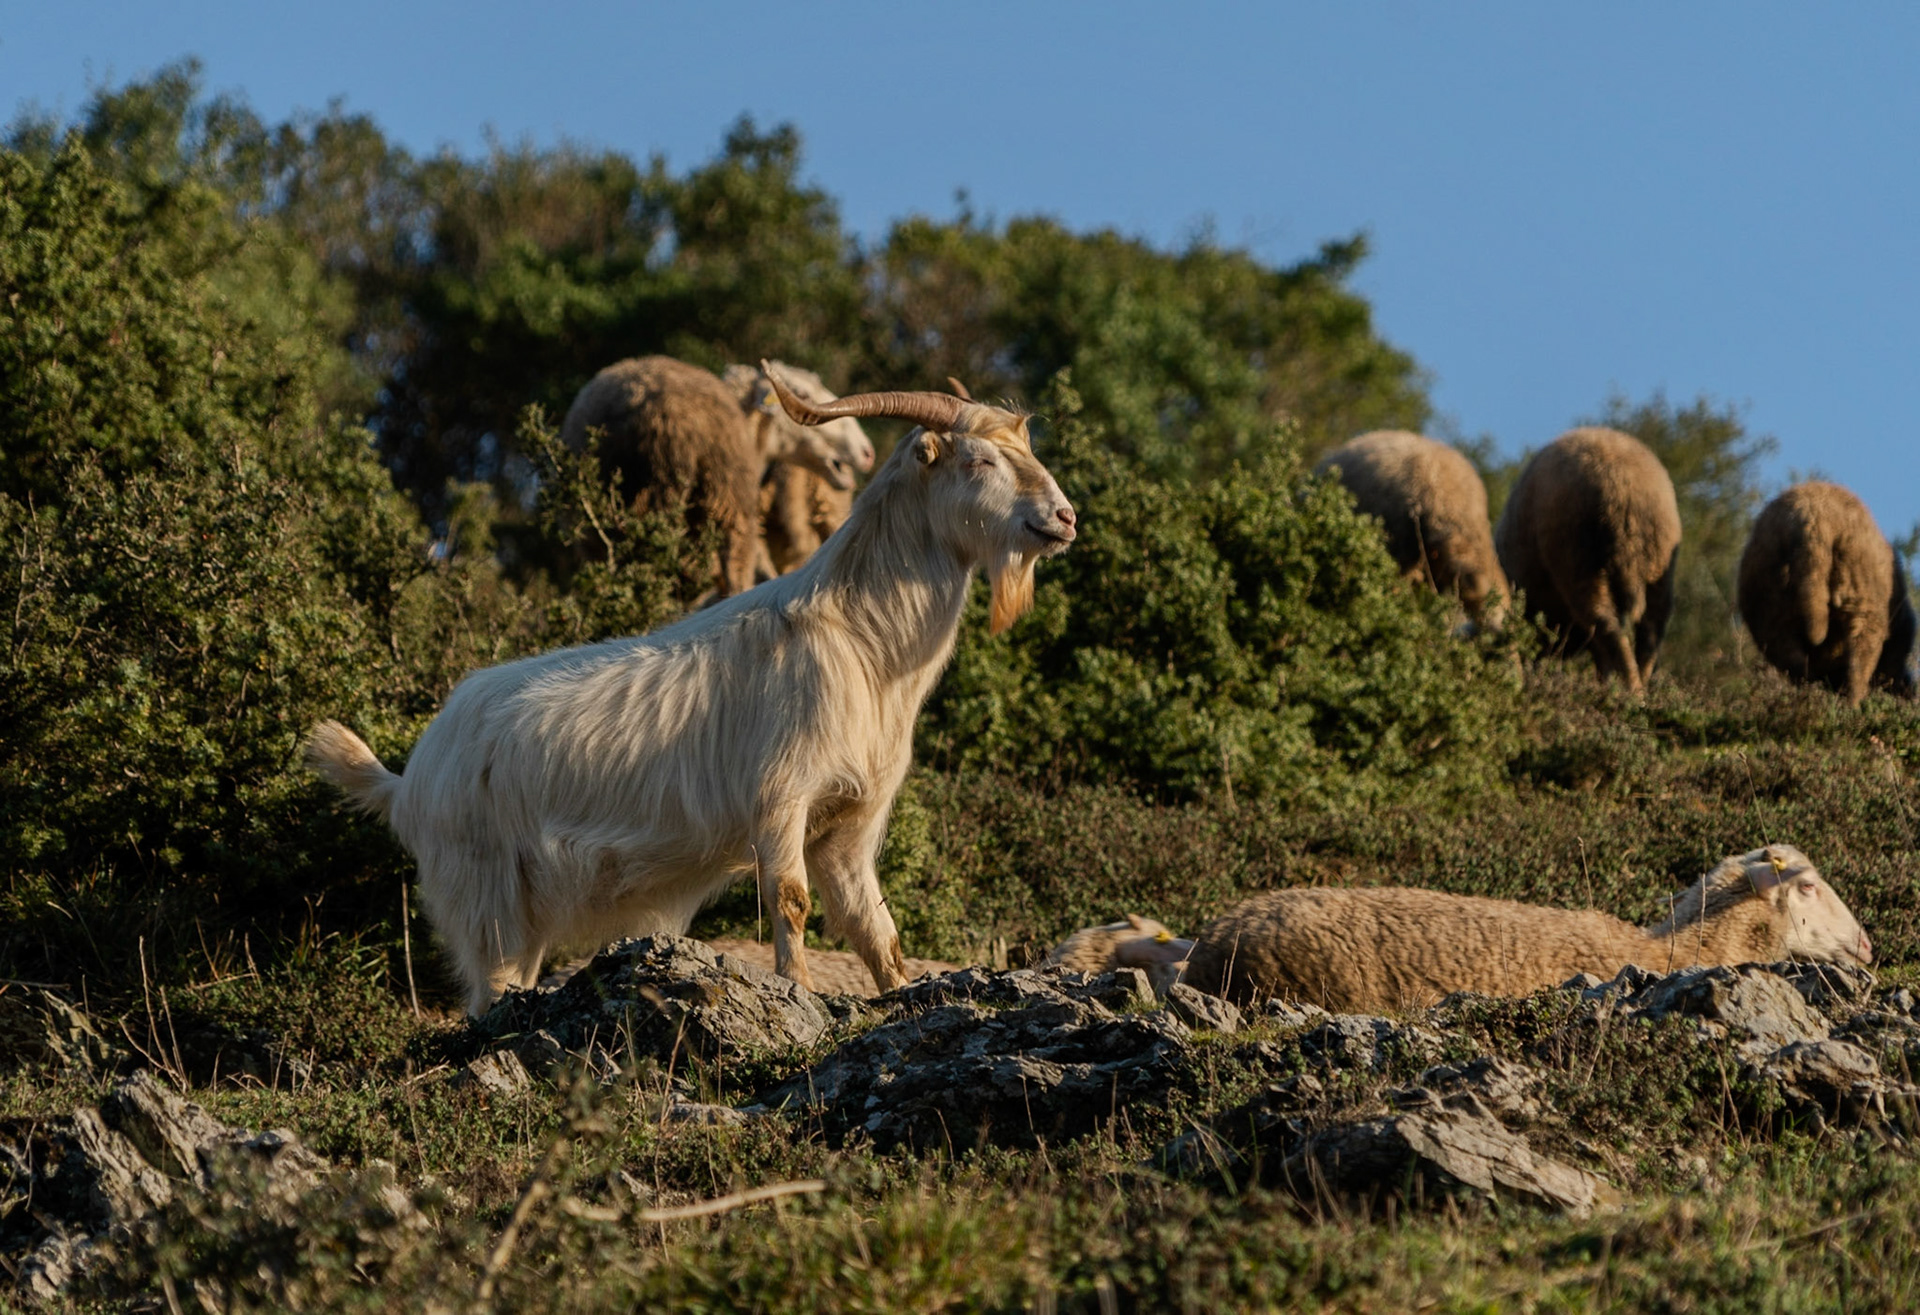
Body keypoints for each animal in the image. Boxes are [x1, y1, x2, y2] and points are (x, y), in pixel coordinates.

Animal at [308, 367, 1077, 1014]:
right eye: (979, 461)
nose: (1065, 517)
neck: (862, 643)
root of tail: (408, 776)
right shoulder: (780, 798)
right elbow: (790, 900)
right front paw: (798, 995)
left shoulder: (849, 824)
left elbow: (874, 929)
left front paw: (899, 997)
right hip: (486, 898)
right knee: (487, 992)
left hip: (524, 911)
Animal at [1495, 426, 1682, 693]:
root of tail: (1623, 486)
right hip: (1659, 567)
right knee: (1650, 631)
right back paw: (1637, 687)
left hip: (1579, 562)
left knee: (1609, 630)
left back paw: (1629, 692)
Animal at [1736, 480, 1918, 703]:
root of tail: (1813, 520)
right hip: (1863, 604)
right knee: (1858, 665)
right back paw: (1852, 704)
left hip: (1770, 611)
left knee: (1795, 662)